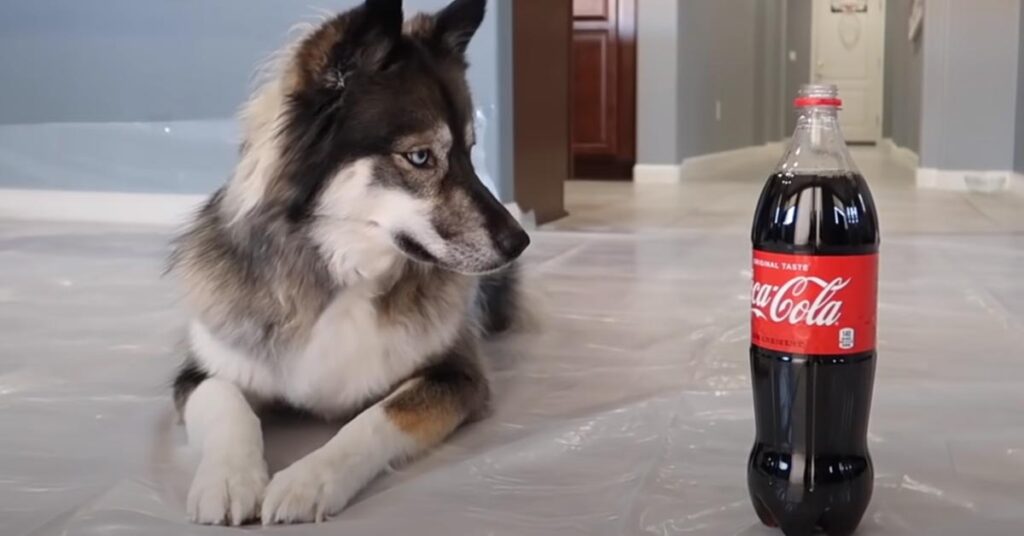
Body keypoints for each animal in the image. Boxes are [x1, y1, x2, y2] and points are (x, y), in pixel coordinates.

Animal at [166, 0, 528, 524]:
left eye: (470, 150)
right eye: (421, 157)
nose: (520, 242)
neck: (346, 276)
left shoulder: (457, 376)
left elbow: (376, 418)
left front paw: (308, 480)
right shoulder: (198, 372)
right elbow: (225, 401)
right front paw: (228, 478)